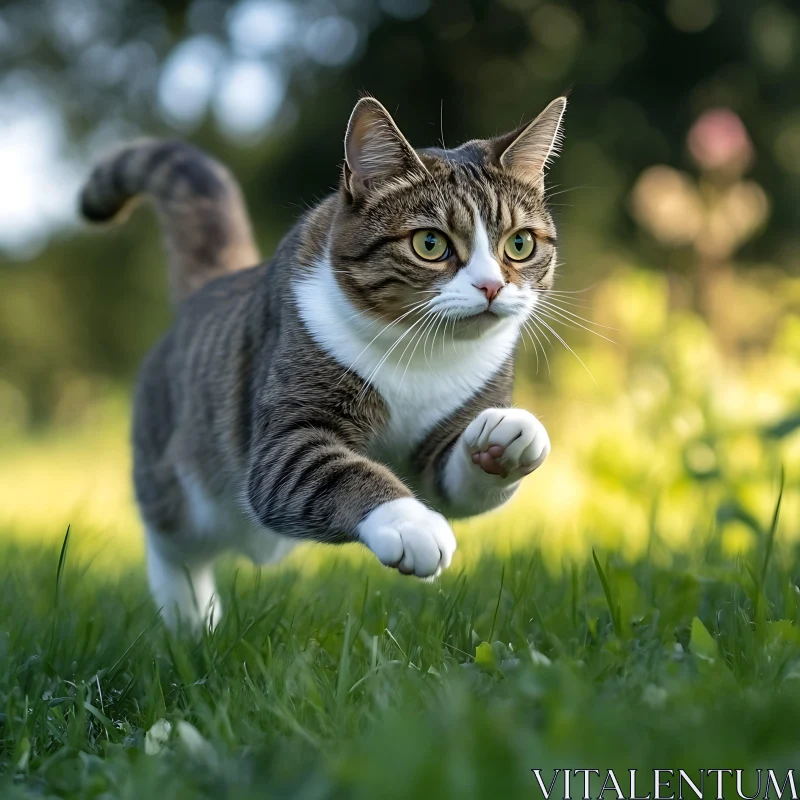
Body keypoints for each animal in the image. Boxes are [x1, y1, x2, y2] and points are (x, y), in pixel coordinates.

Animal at [78, 95, 564, 632]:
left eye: (519, 243)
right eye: (430, 244)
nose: (491, 286)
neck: (422, 353)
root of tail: (211, 288)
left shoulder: (440, 451)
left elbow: (456, 484)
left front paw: (505, 439)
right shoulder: (287, 435)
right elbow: (332, 469)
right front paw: (410, 524)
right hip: (179, 480)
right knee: (172, 539)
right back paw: (190, 619)